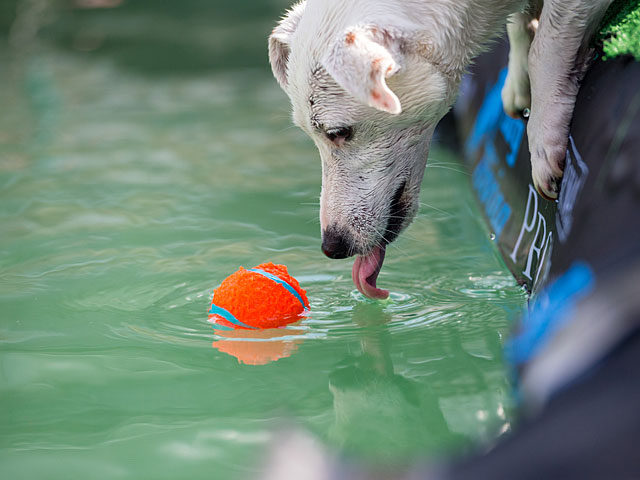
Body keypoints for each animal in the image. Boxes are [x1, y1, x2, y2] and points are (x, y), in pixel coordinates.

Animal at [268, 0, 612, 300]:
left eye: (338, 133)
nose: (332, 247)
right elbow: (520, 27)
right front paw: (518, 82)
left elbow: (546, 49)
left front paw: (543, 134)